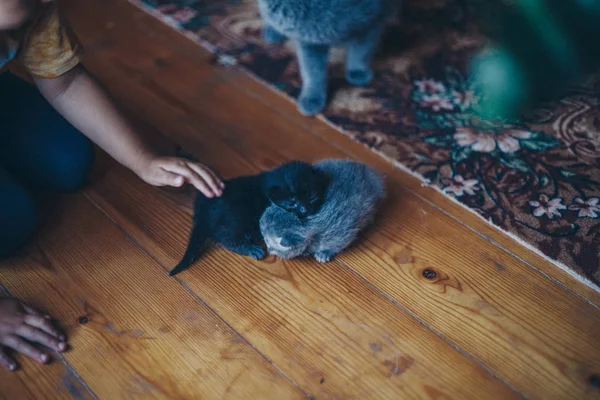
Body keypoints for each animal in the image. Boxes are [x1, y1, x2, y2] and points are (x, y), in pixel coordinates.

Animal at [168, 159, 328, 276]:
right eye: (292, 202)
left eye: (312, 196)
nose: (305, 209)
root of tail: (201, 213)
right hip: (235, 218)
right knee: (227, 239)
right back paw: (251, 249)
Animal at [256, 0, 394, 115]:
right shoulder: (309, 39)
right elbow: (312, 71)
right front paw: (312, 98)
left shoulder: (372, 22)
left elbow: (361, 53)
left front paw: (358, 72)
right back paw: (272, 32)